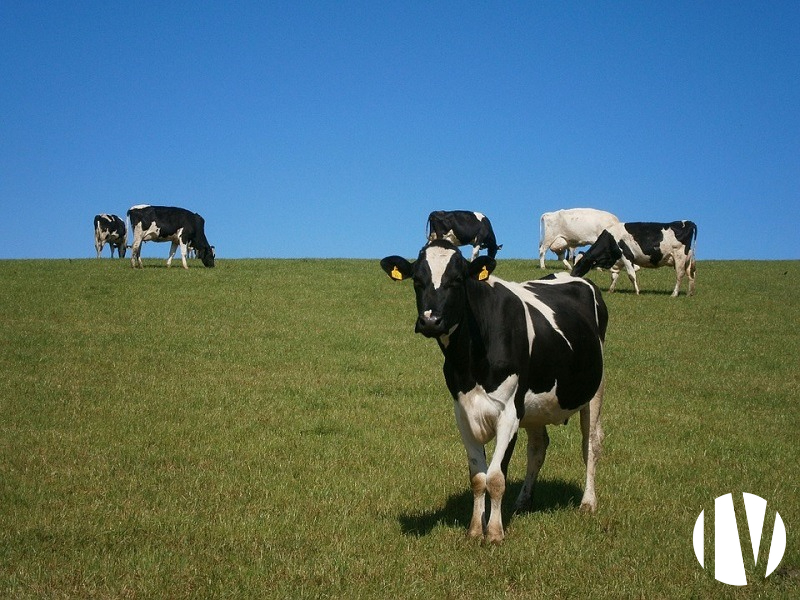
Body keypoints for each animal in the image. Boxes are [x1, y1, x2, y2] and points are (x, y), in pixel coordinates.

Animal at [382, 239, 608, 544]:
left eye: (457, 280)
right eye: (417, 281)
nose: (430, 321)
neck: (469, 361)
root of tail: (574, 276)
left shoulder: (509, 413)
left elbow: (496, 477)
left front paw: (495, 533)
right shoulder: (463, 412)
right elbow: (478, 477)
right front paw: (475, 529)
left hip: (594, 391)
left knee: (591, 444)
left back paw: (588, 502)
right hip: (534, 406)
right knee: (538, 447)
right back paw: (523, 502)